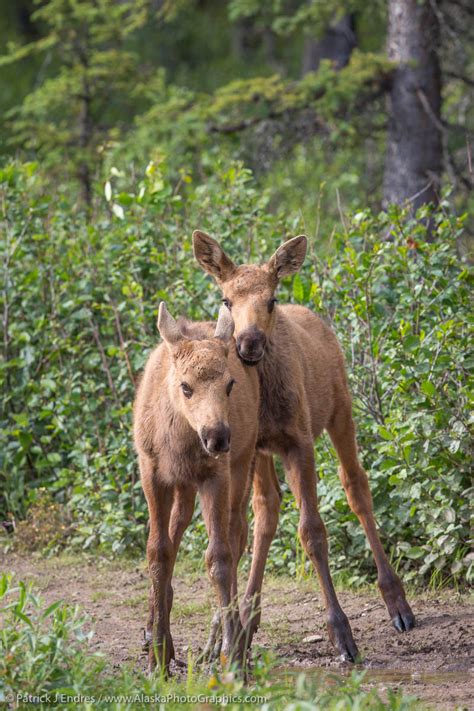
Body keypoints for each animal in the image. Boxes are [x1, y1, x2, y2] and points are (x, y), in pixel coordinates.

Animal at [132, 302, 260, 672]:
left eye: (229, 384)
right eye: (186, 386)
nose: (217, 436)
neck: (178, 441)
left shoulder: (215, 475)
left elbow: (219, 556)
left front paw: (232, 656)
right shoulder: (153, 474)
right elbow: (158, 552)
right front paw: (158, 653)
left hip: (241, 466)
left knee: (237, 533)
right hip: (183, 488)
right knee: (175, 534)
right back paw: (154, 630)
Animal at [193, 231, 414, 664]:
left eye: (271, 299)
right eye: (226, 300)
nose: (248, 342)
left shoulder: (299, 441)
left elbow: (312, 531)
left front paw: (341, 633)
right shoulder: (247, 446)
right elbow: (236, 534)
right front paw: (220, 637)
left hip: (341, 411)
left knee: (357, 487)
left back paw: (397, 602)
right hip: (262, 453)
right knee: (266, 511)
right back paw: (248, 618)